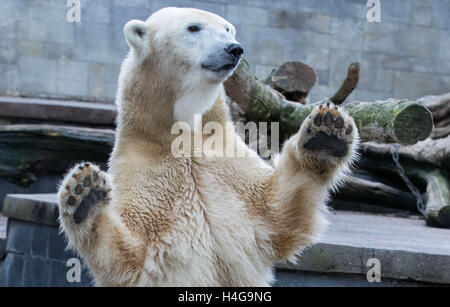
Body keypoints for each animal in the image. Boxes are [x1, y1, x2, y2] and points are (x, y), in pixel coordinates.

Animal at [57, 6, 358, 286]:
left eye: (227, 29)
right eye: (193, 27)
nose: (234, 48)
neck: (185, 134)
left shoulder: (224, 160)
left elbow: (276, 213)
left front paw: (327, 133)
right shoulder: (148, 169)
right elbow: (132, 255)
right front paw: (85, 194)